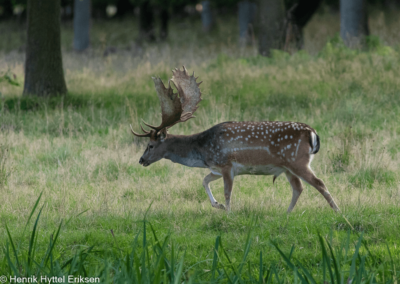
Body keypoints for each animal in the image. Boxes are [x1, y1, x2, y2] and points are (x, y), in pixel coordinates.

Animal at [130, 66, 338, 212]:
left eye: (150, 145)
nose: (141, 160)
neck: (203, 150)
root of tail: (313, 133)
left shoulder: (227, 164)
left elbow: (227, 192)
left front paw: (228, 212)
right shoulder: (216, 168)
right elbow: (204, 181)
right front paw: (218, 206)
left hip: (297, 160)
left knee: (319, 183)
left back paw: (337, 211)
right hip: (287, 167)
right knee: (298, 188)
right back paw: (286, 214)